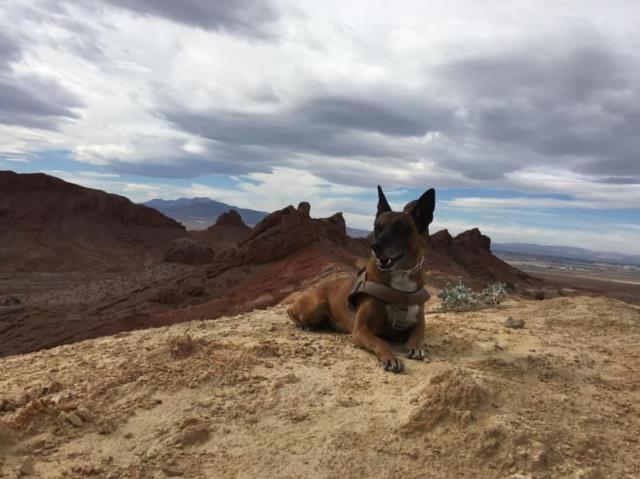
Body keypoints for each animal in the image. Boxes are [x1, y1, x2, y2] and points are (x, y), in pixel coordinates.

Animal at [288, 186, 436, 374]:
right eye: (377, 228)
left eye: (401, 229)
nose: (375, 247)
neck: (400, 281)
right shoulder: (361, 330)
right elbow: (382, 341)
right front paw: (391, 358)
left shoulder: (419, 324)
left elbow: (417, 336)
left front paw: (416, 348)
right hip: (315, 306)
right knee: (291, 311)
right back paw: (303, 325)